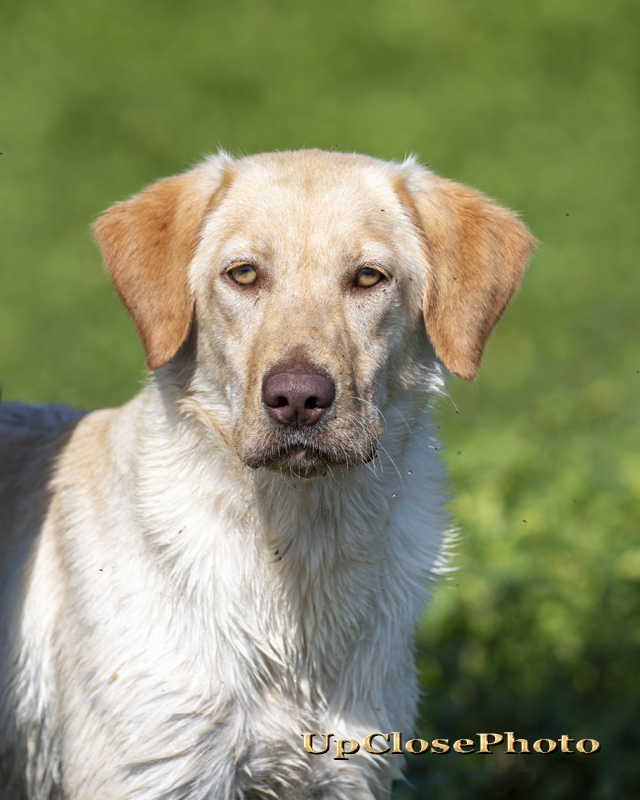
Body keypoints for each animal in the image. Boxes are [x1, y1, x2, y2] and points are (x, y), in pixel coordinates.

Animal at [0, 152, 536, 800]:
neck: (297, 555)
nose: (298, 398)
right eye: (244, 274)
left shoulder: (346, 769)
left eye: (368, 278)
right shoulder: (158, 766)